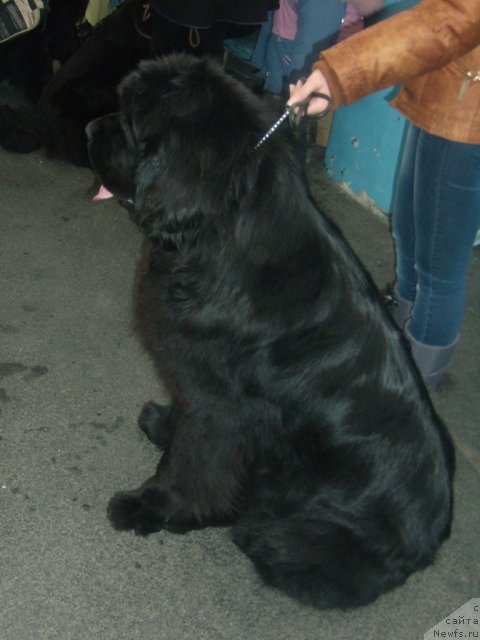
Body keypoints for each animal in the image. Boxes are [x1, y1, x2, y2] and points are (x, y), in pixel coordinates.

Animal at [87, 55, 454, 608]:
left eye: (129, 123)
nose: (88, 128)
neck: (216, 236)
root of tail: (429, 544)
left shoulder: (221, 403)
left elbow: (194, 463)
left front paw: (154, 506)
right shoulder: (197, 385)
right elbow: (188, 433)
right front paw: (163, 426)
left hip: (304, 533)